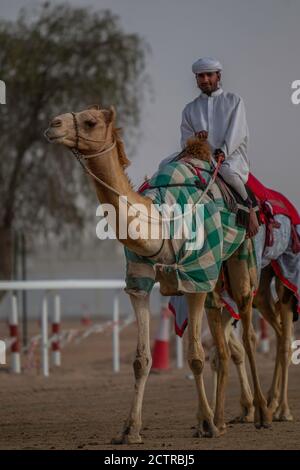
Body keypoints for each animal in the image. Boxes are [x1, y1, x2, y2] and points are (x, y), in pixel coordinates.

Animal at [45, 104, 272, 442]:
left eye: (90, 121)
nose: (53, 125)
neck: (161, 224)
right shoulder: (139, 281)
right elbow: (142, 360)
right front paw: (130, 429)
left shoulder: (195, 276)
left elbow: (194, 356)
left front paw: (206, 423)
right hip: (215, 282)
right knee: (222, 345)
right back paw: (220, 419)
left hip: (240, 263)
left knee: (247, 334)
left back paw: (261, 414)